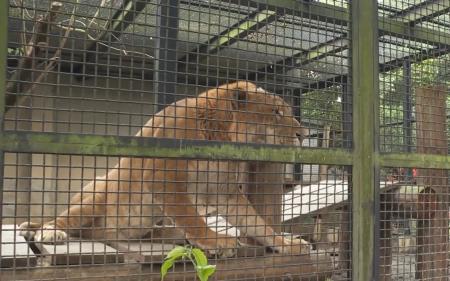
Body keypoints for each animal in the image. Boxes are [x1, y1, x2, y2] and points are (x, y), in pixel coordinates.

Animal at [19, 80, 312, 256]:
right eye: (276, 112)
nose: (304, 134)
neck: (223, 137)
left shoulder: (225, 192)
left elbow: (259, 225)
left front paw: (288, 244)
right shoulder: (163, 176)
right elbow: (191, 217)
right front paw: (215, 240)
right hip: (96, 193)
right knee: (63, 220)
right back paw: (49, 231)